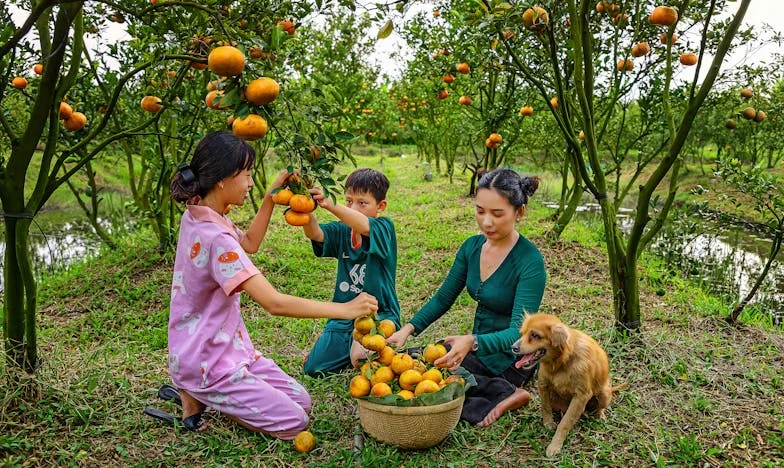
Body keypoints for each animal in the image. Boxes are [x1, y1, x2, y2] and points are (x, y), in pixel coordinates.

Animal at [516, 312, 620, 456]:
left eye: (535, 335)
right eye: (522, 333)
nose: (513, 348)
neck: (561, 363)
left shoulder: (581, 396)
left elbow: (565, 423)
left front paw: (555, 445)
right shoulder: (543, 384)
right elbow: (545, 407)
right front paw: (548, 423)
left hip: (603, 394)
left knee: (599, 407)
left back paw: (599, 415)